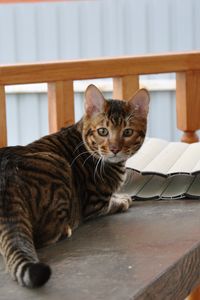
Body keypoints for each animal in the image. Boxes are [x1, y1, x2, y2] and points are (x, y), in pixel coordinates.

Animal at [0, 84, 148, 288]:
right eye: (103, 131)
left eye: (127, 132)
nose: (115, 149)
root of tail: (7, 177)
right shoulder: (95, 204)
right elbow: (114, 203)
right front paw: (123, 199)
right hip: (59, 166)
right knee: (43, 236)